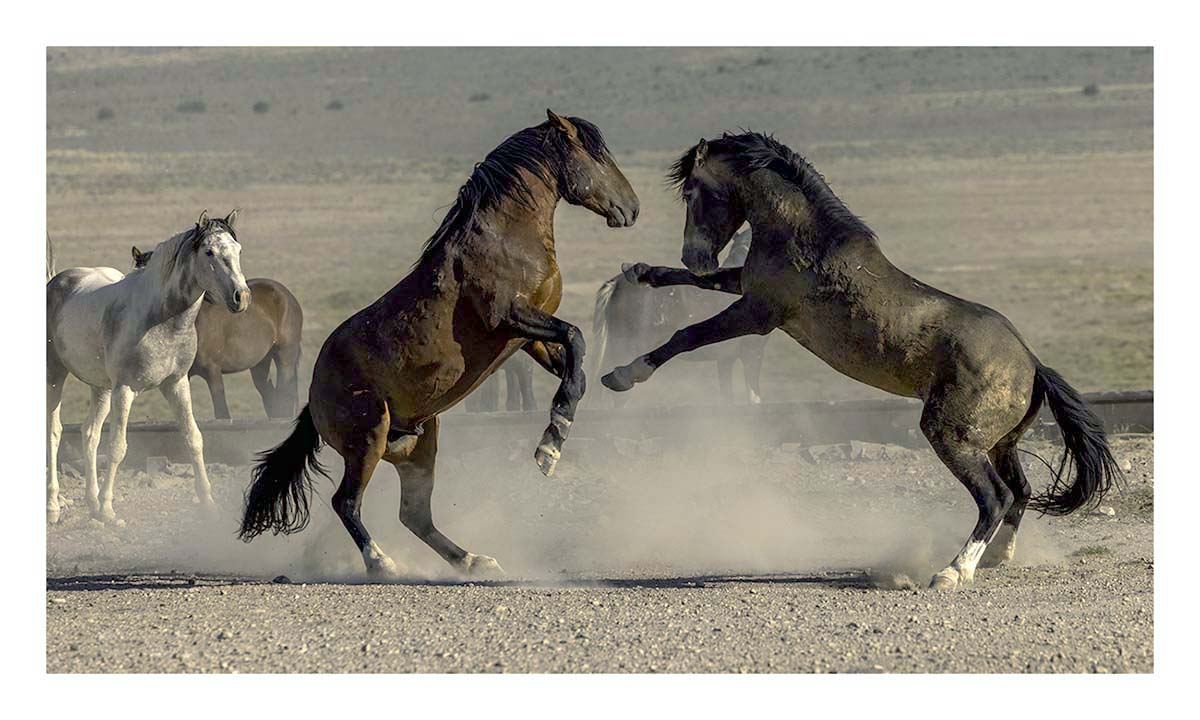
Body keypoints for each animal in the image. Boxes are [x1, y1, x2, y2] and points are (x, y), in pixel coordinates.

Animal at [47, 210, 250, 524]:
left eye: (238, 250)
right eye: (209, 252)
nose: (241, 297)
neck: (162, 319)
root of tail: (56, 282)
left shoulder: (176, 384)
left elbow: (193, 438)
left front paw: (208, 503)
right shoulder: (125, 390)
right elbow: (118, 447)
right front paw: (108, 510)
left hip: (100, 388)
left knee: (90, 433)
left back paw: (91, 503)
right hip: (55, 375)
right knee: (55, 432)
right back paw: (54, 507)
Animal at [132, 247, 303, 420]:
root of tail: (286, 295)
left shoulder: (213, 373)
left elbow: (222, 414)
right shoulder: (184, 376)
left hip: (285, 357)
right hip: (260, 363)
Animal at [239, 111, 639, 578]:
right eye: (596, 155)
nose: (632, 208)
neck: (507, 238)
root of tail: (314, 398)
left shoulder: (525, 339)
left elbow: (574, 365)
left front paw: (555, 436)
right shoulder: (510, 317)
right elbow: (575, 337)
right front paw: (549, 448)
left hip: (418, 445)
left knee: (414, 515)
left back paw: (474, 560)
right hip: (369, 438)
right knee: (347, 502)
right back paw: (382, 564)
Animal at [588, 228, 768, 407]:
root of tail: (615, 284)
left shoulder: (725, 360)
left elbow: (727, 396)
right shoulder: (752, 353)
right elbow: (754, 396)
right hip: (626, 350)